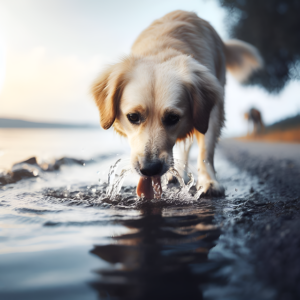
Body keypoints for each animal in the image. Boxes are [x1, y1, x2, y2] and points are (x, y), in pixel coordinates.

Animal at [91, 10, 262, 198]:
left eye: (173, 118)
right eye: (133, 117)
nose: (149, 169)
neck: (161, 52)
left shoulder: (211, 112)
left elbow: (206, 149)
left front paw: (209, 182)